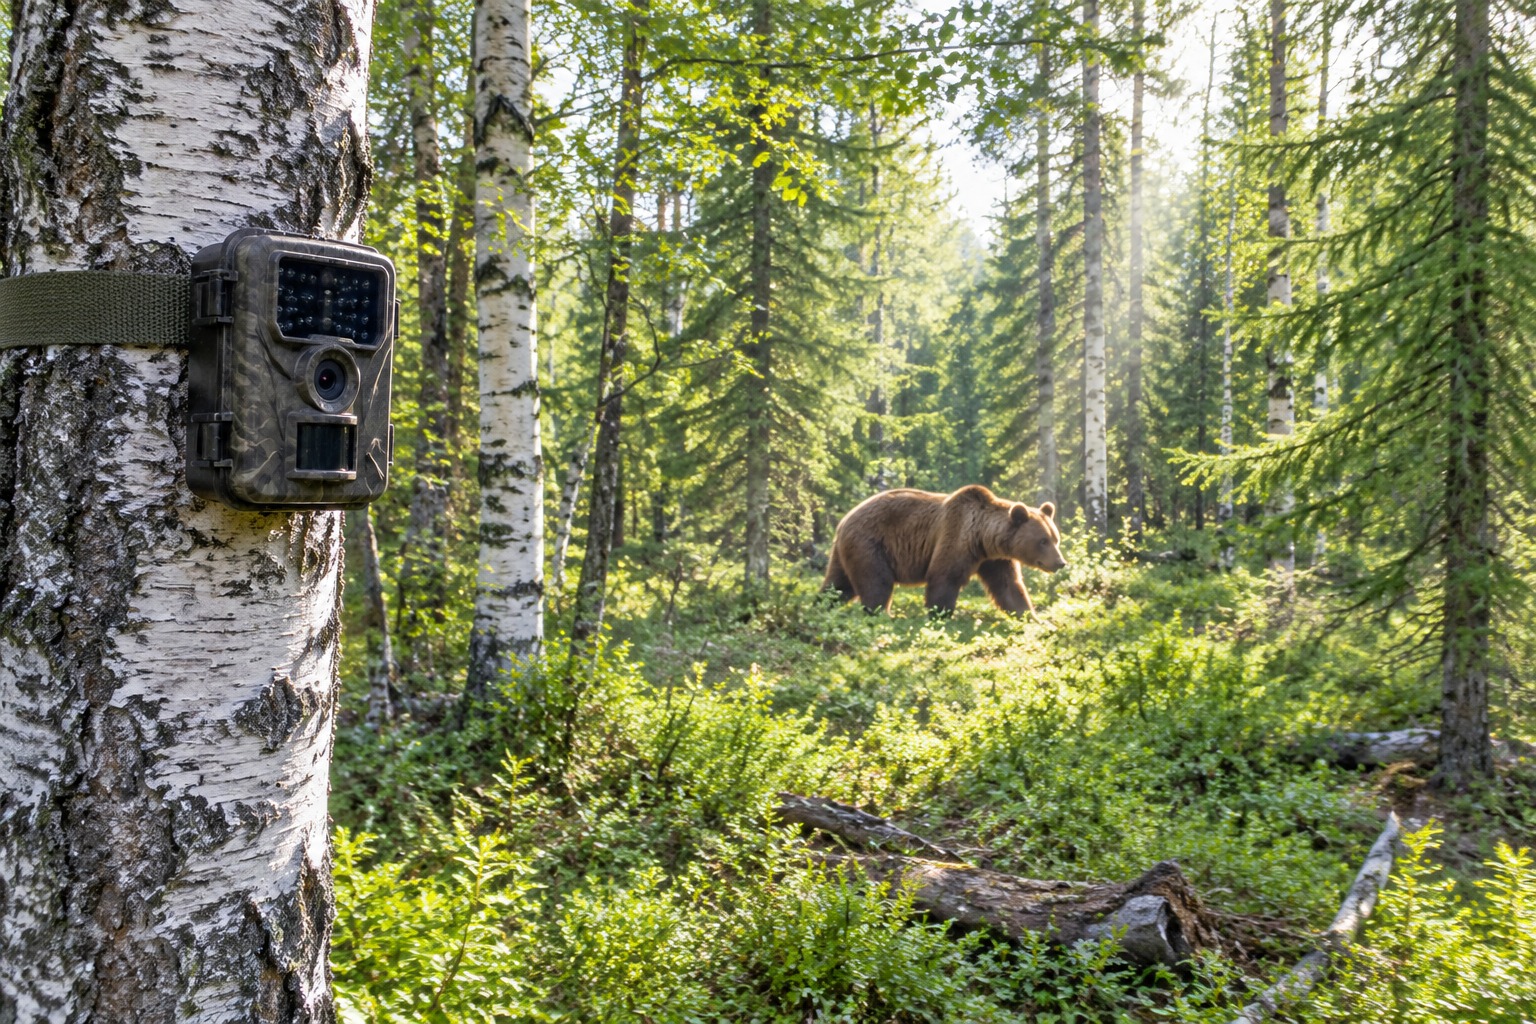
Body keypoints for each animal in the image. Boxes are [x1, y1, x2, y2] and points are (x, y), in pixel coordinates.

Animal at [822, 485, 1067, 616]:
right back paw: (882, 614)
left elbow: (1009, 588)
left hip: (847, 552)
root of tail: (843, 520)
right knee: (877, 583)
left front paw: (1031, 616)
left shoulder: (994, 559)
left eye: (1056, 538)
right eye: (1043, 541)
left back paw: (822, 606)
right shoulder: (956, 536)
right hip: (871, 545)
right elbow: (944, 577)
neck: (983, 538)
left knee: (838, 585)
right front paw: (940, 614)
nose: (1060, 562)